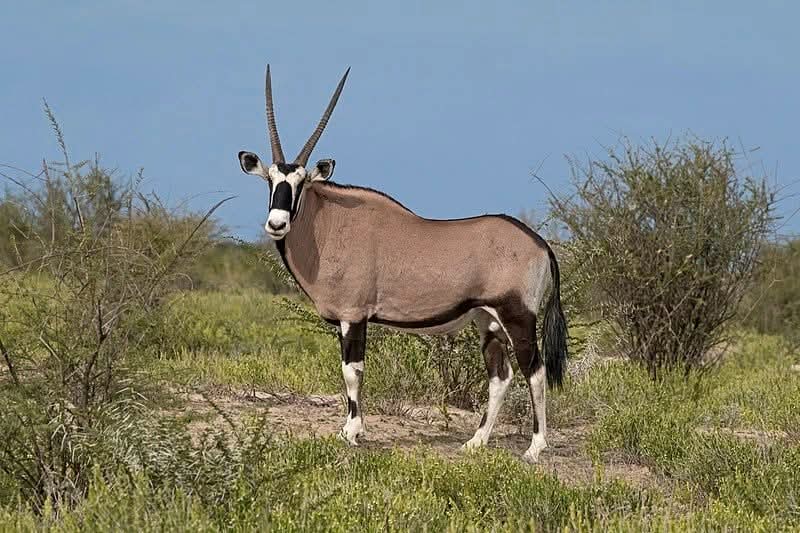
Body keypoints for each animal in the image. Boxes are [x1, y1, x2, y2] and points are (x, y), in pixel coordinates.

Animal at [237, 66, 568, 463]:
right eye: (270, 180)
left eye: (301, 182)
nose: (277, 224)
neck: (330, 222)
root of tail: (540, 243)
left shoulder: (353, 317)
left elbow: (352, 371)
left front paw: (352, 433)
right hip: (487, 321)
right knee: (500, 376)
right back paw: (475, 442)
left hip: (518, 317)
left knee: (535, 371)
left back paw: (534, 448)